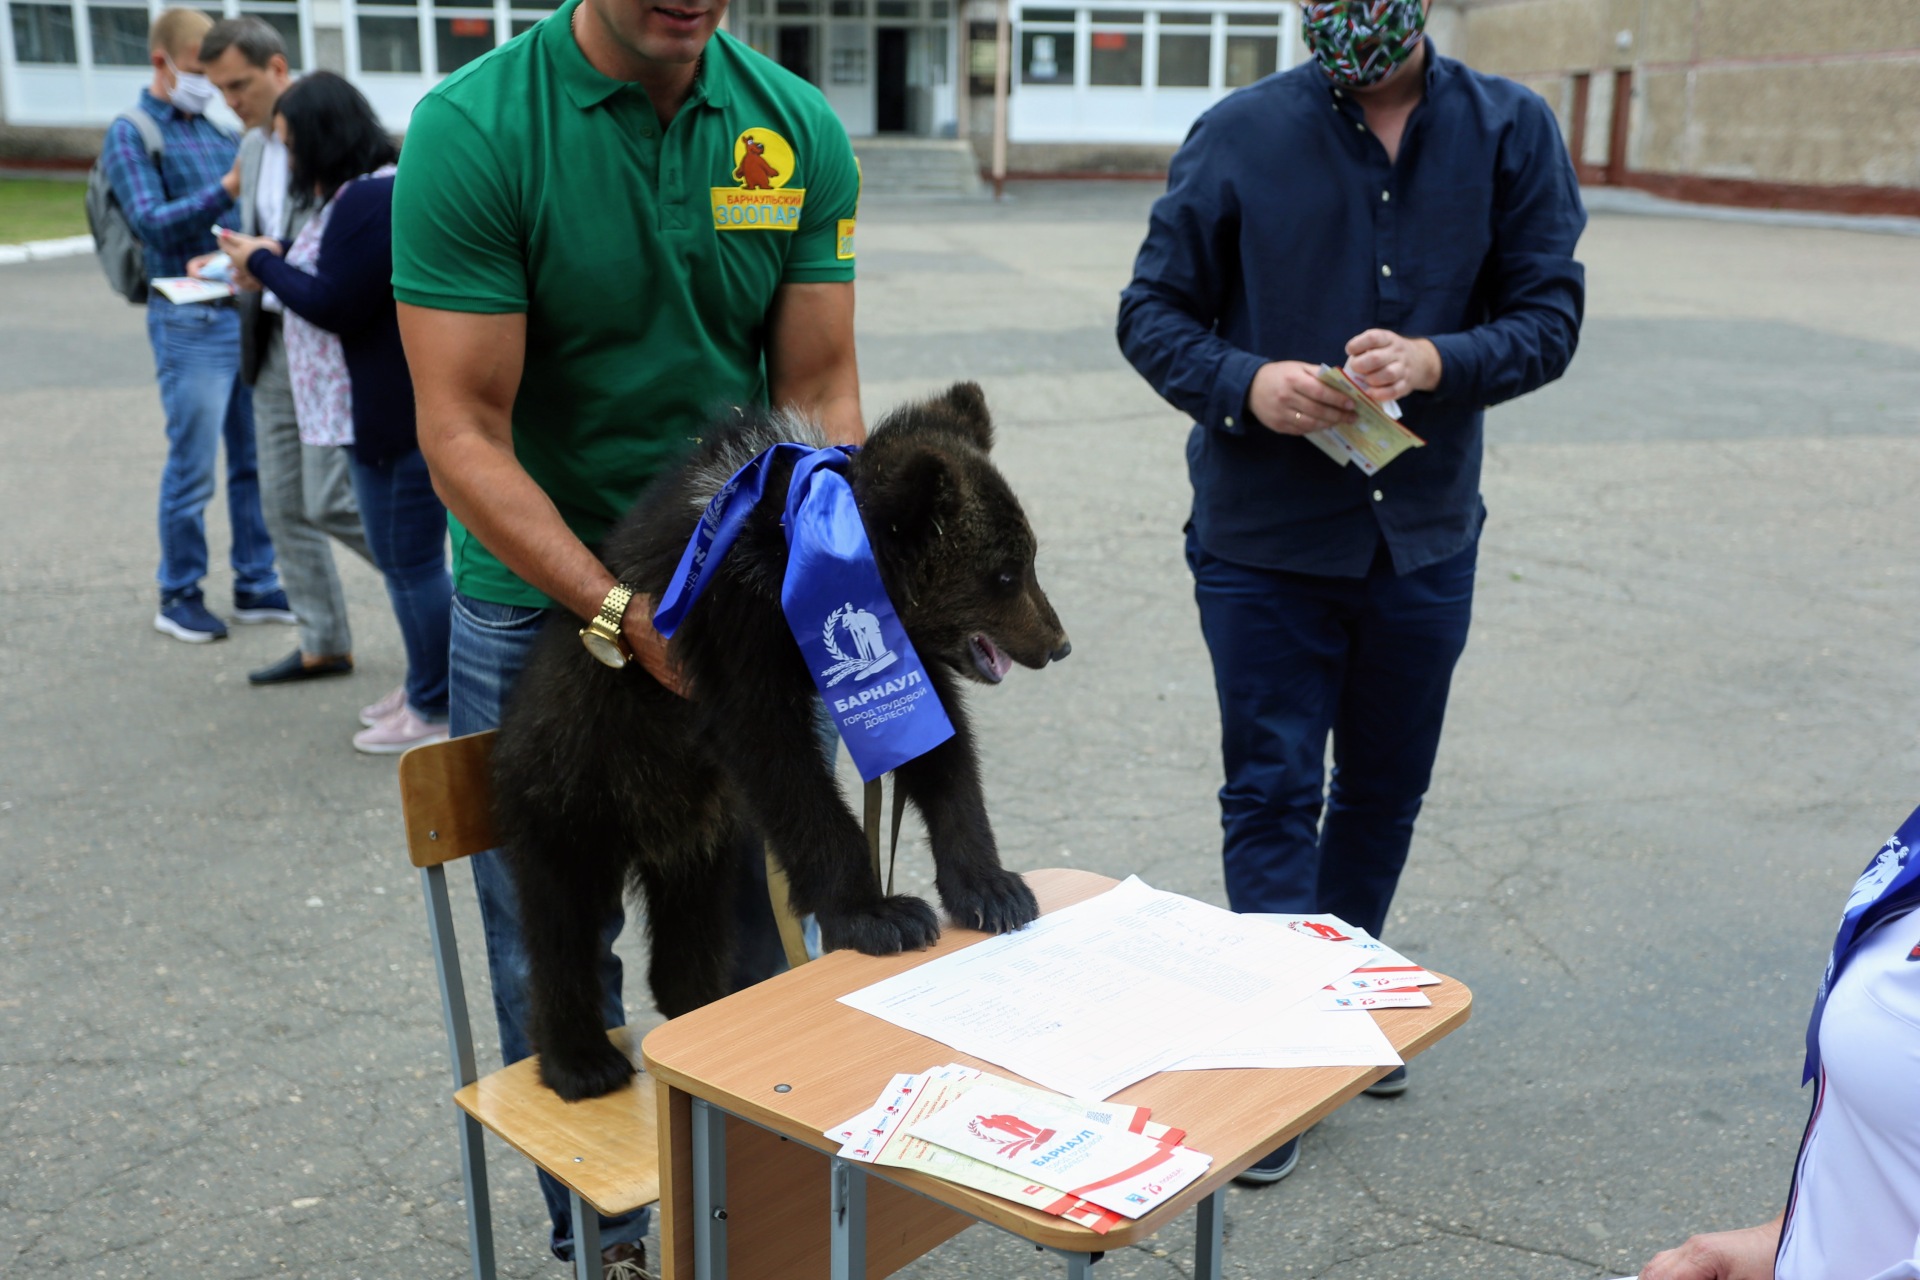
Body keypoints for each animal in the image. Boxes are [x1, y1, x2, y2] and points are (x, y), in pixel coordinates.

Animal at [490, 382, 1072, 1102]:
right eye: (1004, 574)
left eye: (1027, 560)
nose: (1057, 644)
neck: (800, 549)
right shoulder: (736, 633)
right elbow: (780, 760)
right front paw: (879, 913)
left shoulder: (898, 651)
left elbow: (938, 746)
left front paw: (992, 888)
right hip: (572, 787)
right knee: (560, 927)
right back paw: (580, 1060)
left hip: (697, 835)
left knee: (694, 926)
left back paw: (697, 1003)